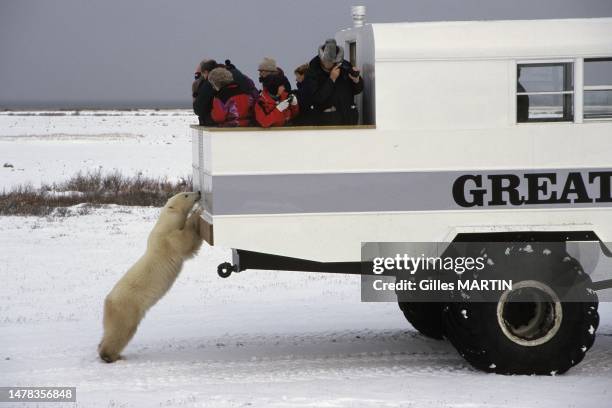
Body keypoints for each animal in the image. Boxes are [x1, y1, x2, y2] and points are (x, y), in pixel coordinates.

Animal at [98, 192, 203, 364]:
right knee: (121, 330)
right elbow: (184, 242)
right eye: (186, 194)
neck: (164, 224)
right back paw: (110, 355)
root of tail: (108, 302)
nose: (199, 193)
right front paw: (196, 213)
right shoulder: (167, 240)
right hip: (127, 308)